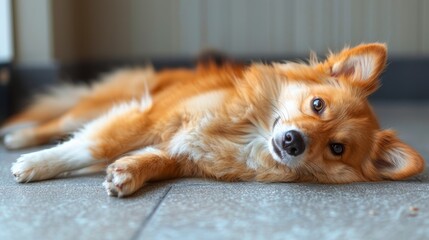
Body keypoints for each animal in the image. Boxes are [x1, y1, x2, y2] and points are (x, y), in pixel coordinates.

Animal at [0, 43, 424, 197]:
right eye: (317, 105)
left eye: (337, 148)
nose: (293, 142)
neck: (247, 132)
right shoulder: (146, 117)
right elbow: (94, 145)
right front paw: (35, 166)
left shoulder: (184, 154)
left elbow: (155, 159)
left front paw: (128, 172)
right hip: (108, 103)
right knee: (57, 122)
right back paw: (19, 139)